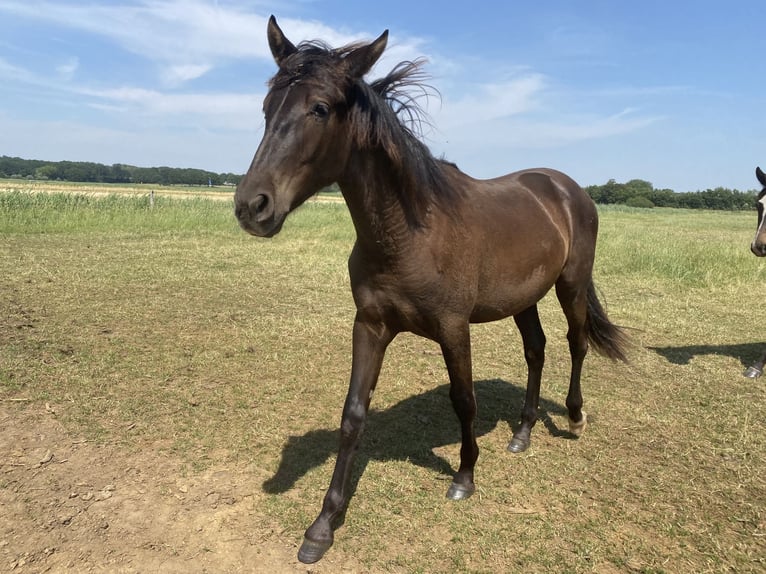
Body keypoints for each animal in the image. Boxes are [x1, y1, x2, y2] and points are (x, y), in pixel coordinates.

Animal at [234, 16, 629, 564]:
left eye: (319, 108)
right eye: (268, 107)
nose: (252, 206)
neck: (408, 232)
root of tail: (567, 189)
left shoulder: (452, 328)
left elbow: (464, 400)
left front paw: (464, 477)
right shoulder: (370, 325)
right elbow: (353, 413)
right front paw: (322, 526)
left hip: (569, 284)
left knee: (576, 342)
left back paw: (573, 418)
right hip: (524, 298)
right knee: (536, 349)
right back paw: (523, 432)